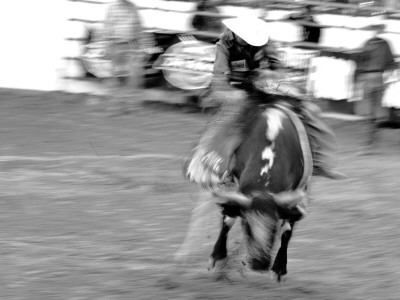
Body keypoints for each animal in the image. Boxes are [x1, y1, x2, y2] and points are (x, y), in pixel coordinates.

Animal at [184, 91, 312, 282]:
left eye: (273, 227)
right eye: (246, 226)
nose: (259, 263)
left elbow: (287, 231)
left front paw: (279, 268)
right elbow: (228, 219)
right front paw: (218, 257)